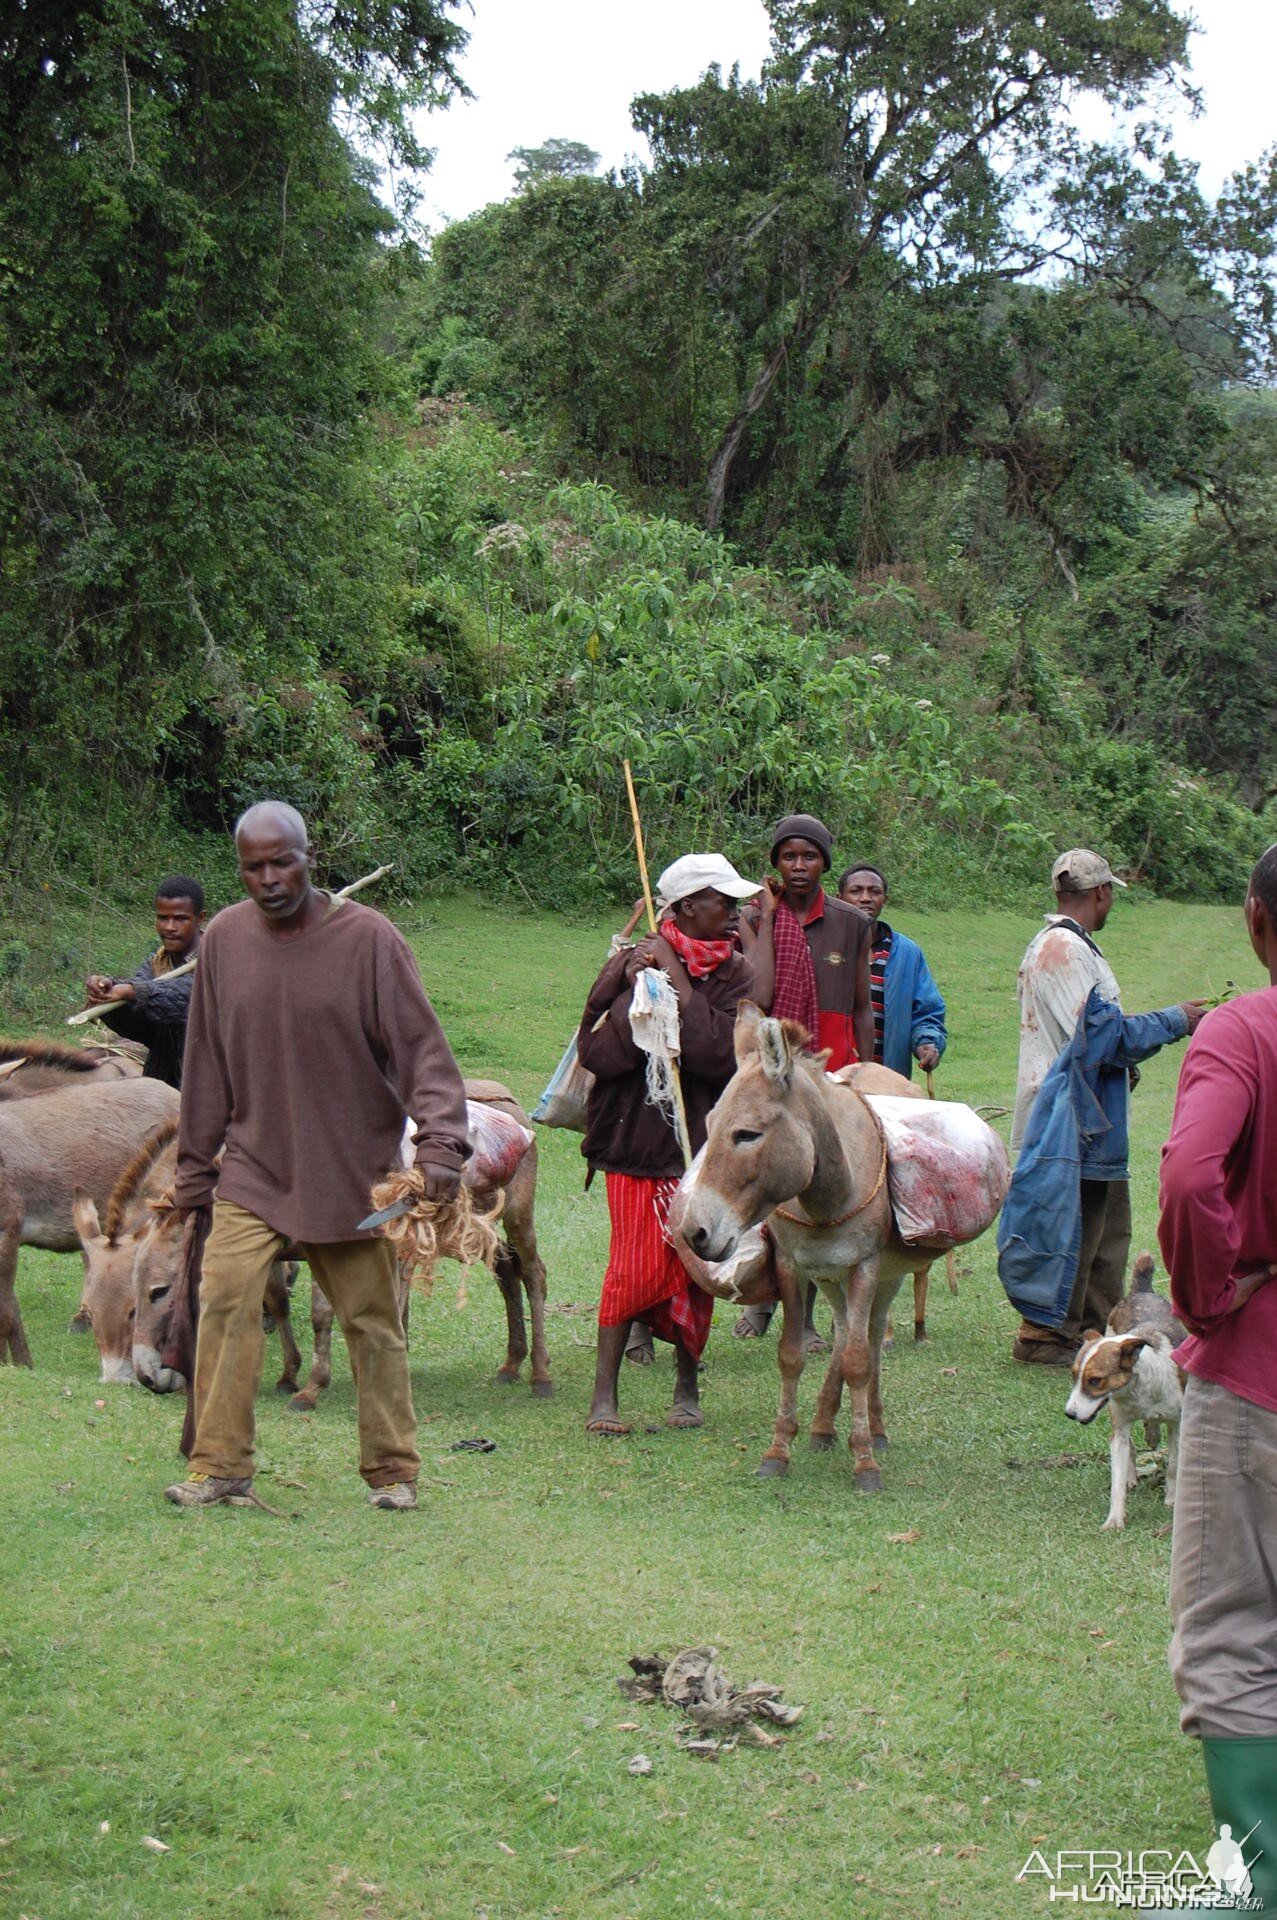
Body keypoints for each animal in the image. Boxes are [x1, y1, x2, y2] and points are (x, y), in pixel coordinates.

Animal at [1052, 1259, 1182, 1528]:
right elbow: (1117, 1480)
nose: (1069, 1413)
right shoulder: (1119, 1429)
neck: (1140, 1389)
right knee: (1132, 1445)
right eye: (1074, 1375)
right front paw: (1114, 1518)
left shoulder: (1177, 1424)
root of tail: (1142, 1291)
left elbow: (1174, 1465)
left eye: (1095, 1380)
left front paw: (1171, 1501)